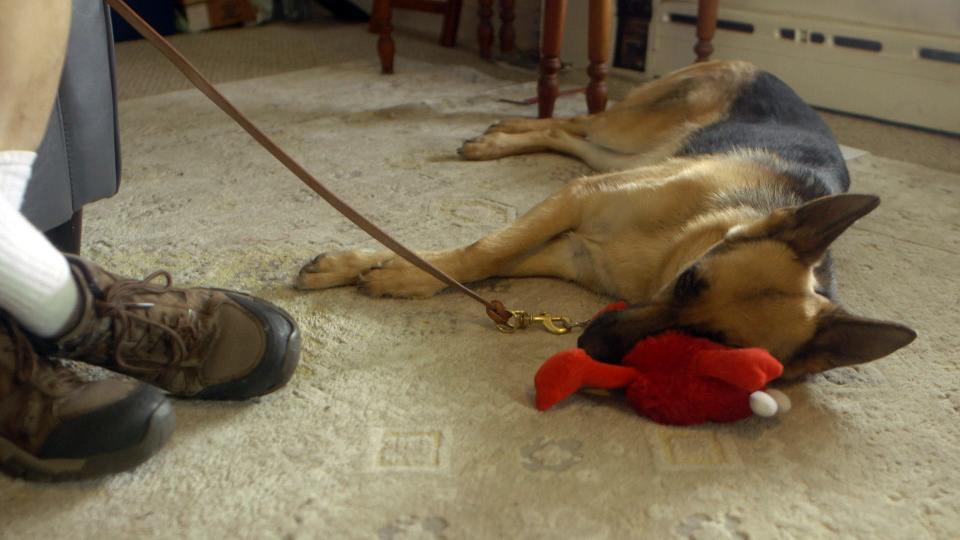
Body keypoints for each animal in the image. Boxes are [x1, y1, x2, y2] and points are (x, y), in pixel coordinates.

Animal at [298, 60, 916, 380]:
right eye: (689, 280)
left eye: (707, 344)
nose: (591, 338)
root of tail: (753, 63)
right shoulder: (575, 199)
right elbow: (483, 252)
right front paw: (385, 270)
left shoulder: (569, 247)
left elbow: (472, 264)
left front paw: (380, 268)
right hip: (631, 133)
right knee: (575, 120)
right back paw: (497, 136)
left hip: (625, 154)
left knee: (566, 134)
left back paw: (501, 137)